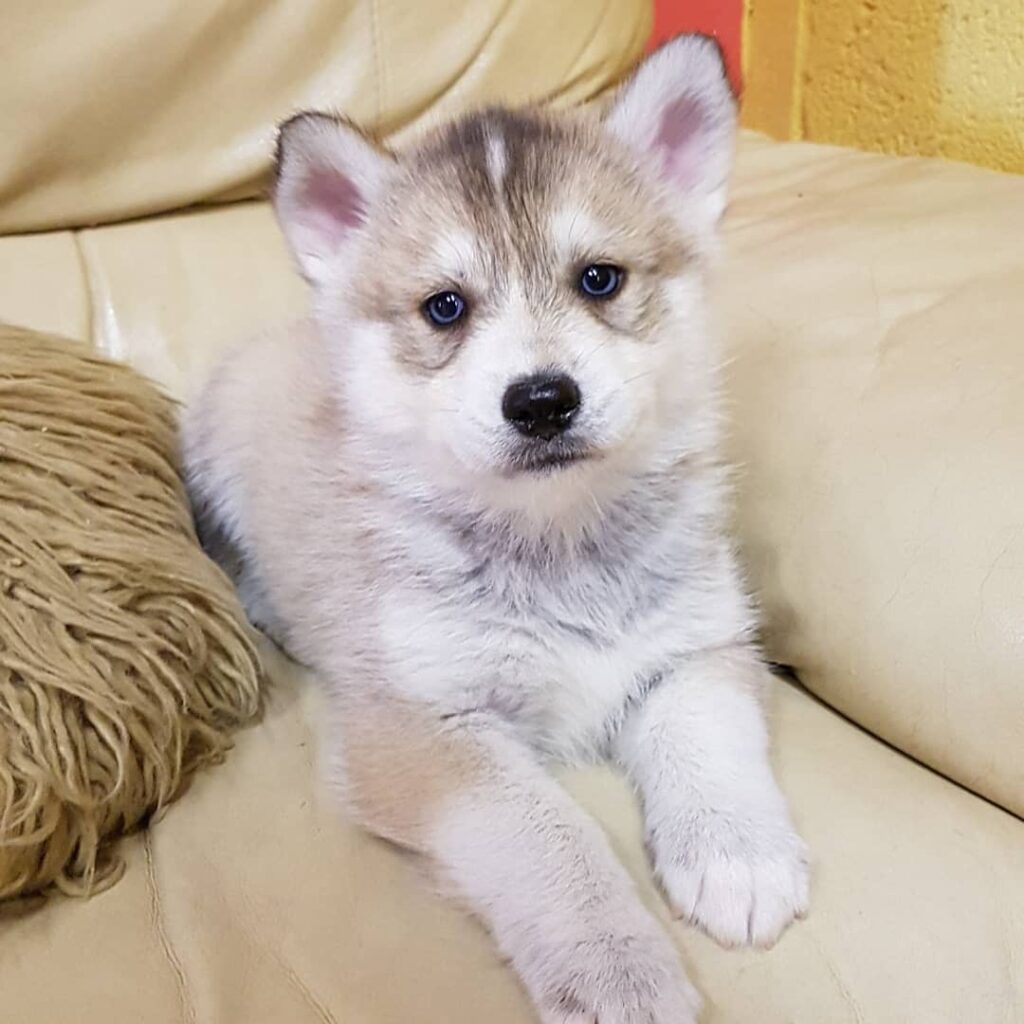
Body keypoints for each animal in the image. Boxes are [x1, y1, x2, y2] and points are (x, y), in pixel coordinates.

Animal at [182, 34, 810, 1023]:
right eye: (446, 306)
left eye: (600, 278)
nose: (543, 401)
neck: (560, 545)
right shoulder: (425, 729)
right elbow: (548, 838)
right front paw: (619, 969)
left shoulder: (700, 648)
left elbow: (710, 745)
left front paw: (736, 855)